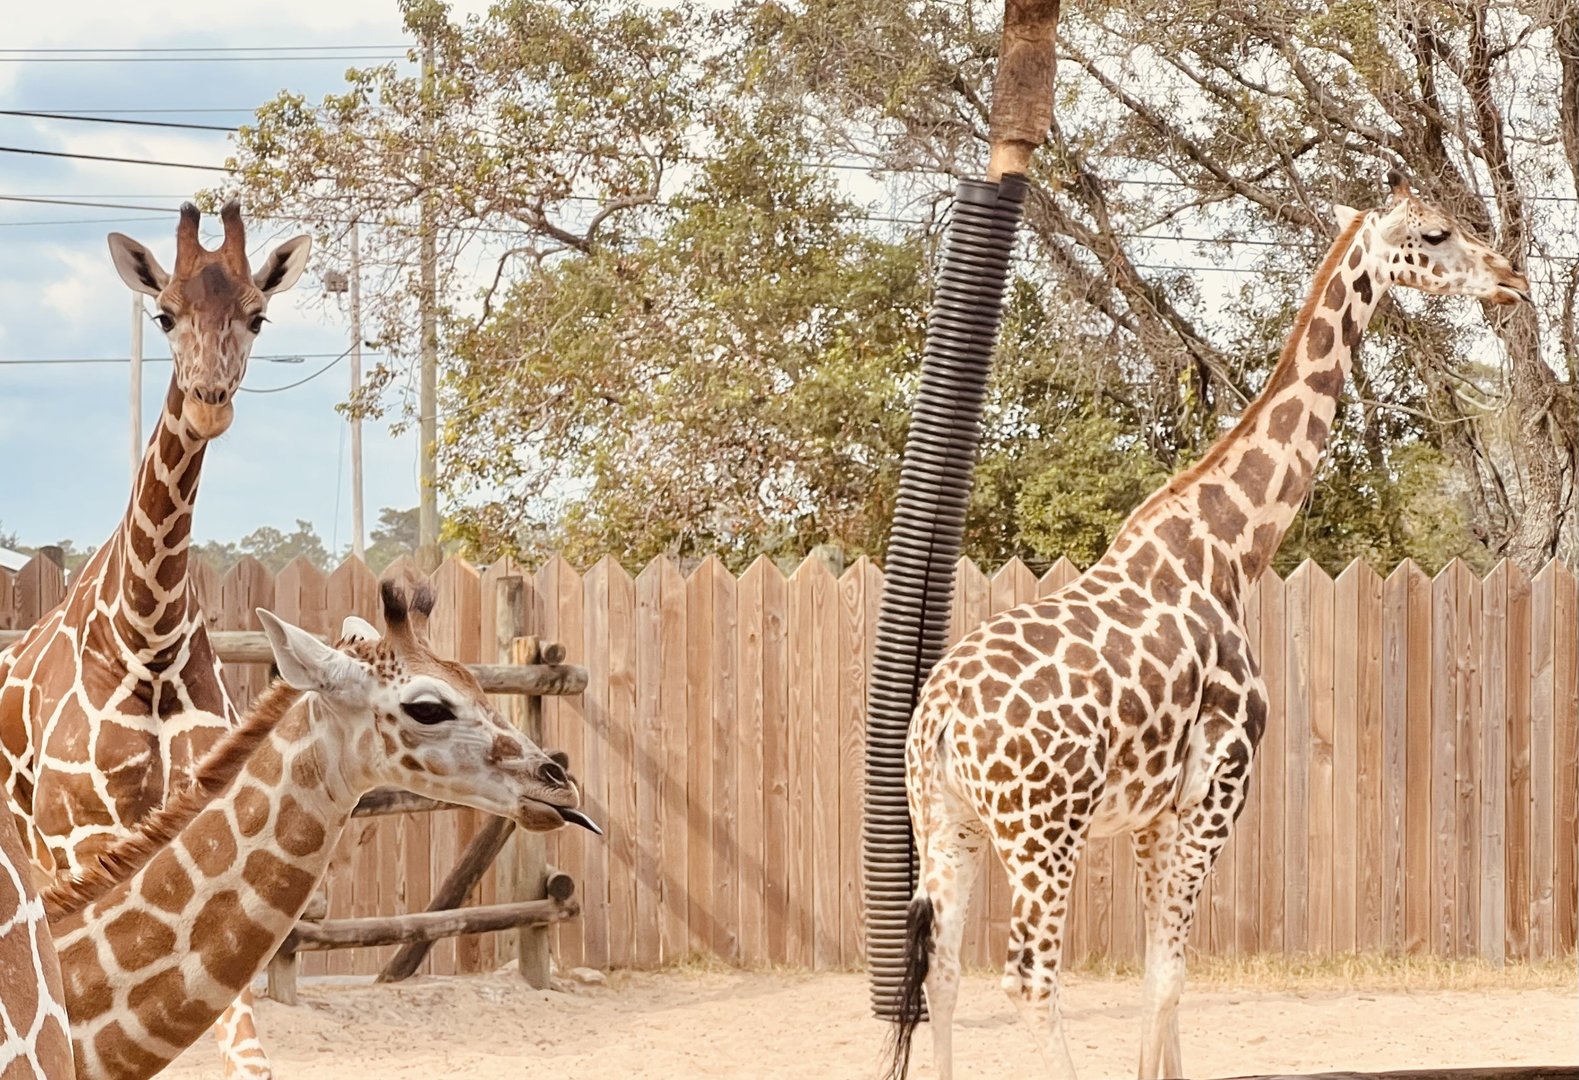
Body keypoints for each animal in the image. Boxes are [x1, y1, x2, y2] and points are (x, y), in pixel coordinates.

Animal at [0, 201, 311, 1079]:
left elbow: (245, 1045)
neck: (146, 635)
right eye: (164, 313)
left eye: (256, 313)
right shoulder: (79, 840)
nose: (209, 399)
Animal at [886, 172, 1531, 1080]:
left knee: (939, 972)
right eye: (1435, 233)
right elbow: (1167, 978)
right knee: (1028, 980)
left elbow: (1160, 982)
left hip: (946, 823)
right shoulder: (1216, 790)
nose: (1510, 278)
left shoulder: (1152, 814)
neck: (1230, 549)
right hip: (1042, 831)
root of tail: (937, 718)